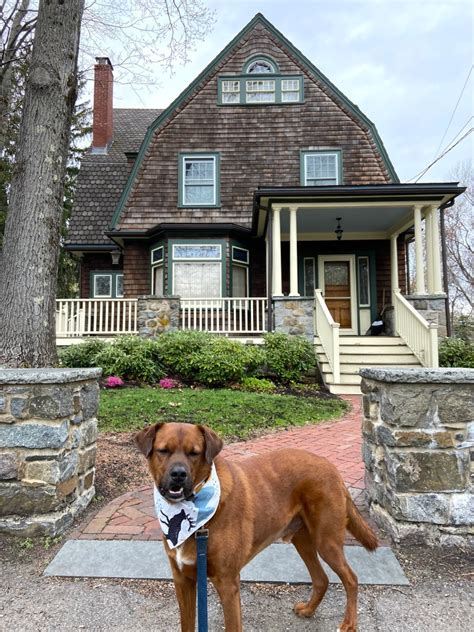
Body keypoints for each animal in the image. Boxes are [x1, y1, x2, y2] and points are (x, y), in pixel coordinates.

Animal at [136, 420, 378, 632]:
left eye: (194, 453)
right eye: (163, 451)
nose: (178, 474)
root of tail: (331, 467)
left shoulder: (227, 583)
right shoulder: (182, 580)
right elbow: (186, 624)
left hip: (326, 540)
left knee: (351, 579)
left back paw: (349, 624)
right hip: (303, 540)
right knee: (321, 579)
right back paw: (309, 610)